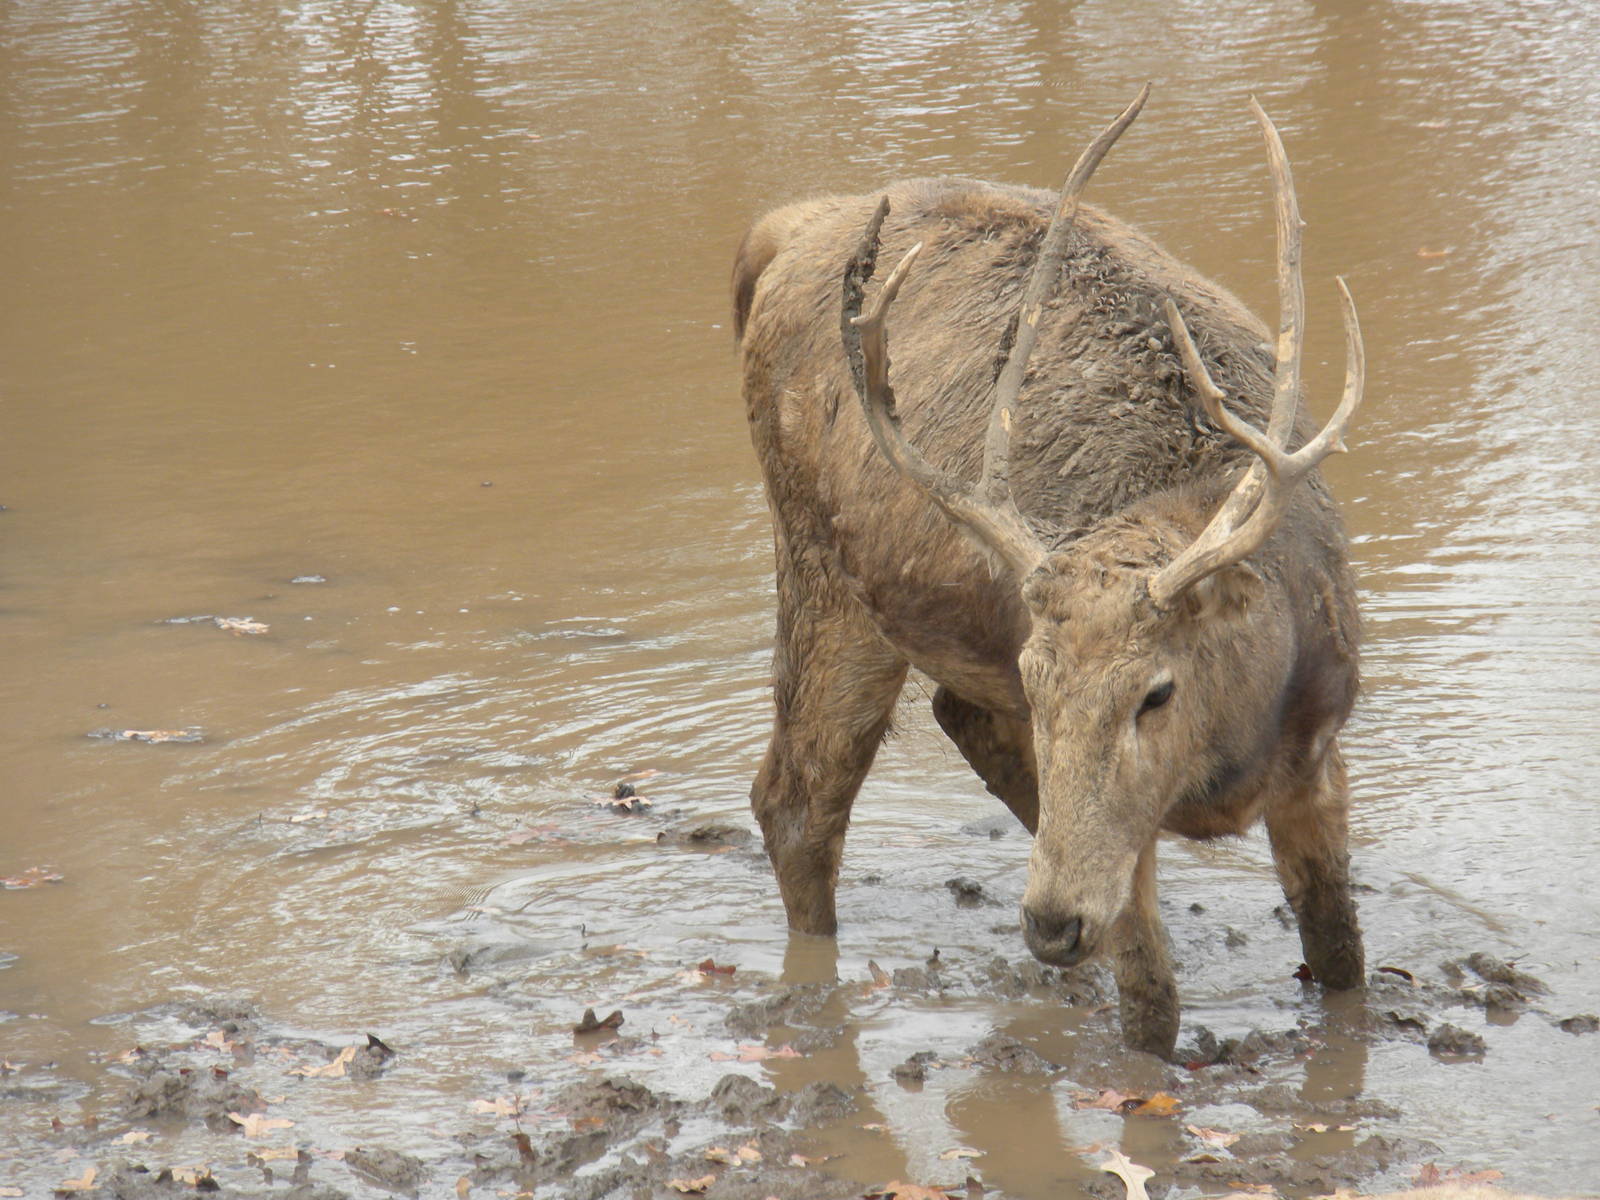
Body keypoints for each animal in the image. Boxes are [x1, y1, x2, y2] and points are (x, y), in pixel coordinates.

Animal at [731, 86, 1366, 1058]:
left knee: (949, 724)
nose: (1051, 924)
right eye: (1042, 684)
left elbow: (1342, 966)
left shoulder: (1323, 751)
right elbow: (1151, 1013)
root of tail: (780, 230)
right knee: (796, 800)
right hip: (822, 565)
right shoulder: (1111, 830)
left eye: (1155, 690)